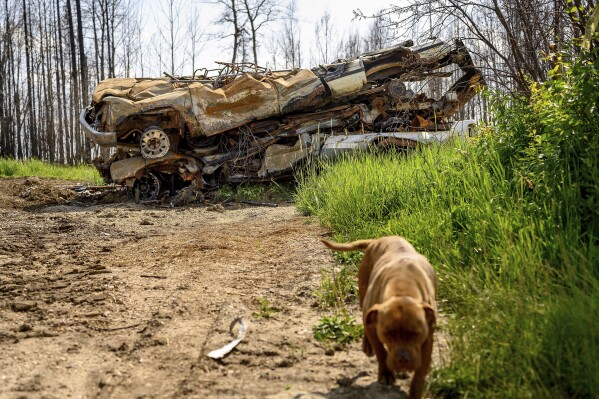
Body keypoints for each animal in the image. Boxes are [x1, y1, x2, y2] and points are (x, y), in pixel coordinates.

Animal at [322, 238, 438, 399]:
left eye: (416, 334)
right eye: (387, 334)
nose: (403, 359)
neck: (402, 290)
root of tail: (379, 239)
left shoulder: (427, 339)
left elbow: (420, 374)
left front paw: (415, 391)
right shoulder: (374, 325)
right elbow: (381, 352)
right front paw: (386, 373)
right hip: (364, 297)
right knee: (366, 323)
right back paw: (367, 345)